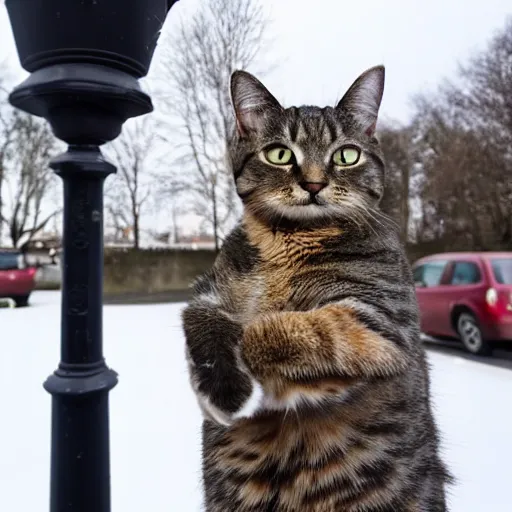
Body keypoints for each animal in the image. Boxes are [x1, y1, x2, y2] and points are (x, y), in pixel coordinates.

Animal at [182, 66, 450, 510]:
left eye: (346, 155)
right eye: (279, 154)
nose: (312, 184)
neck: (287, 243)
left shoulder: (377, 322)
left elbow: (273, 328)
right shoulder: (209, 291)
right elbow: (200, 320)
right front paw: (219, 387)